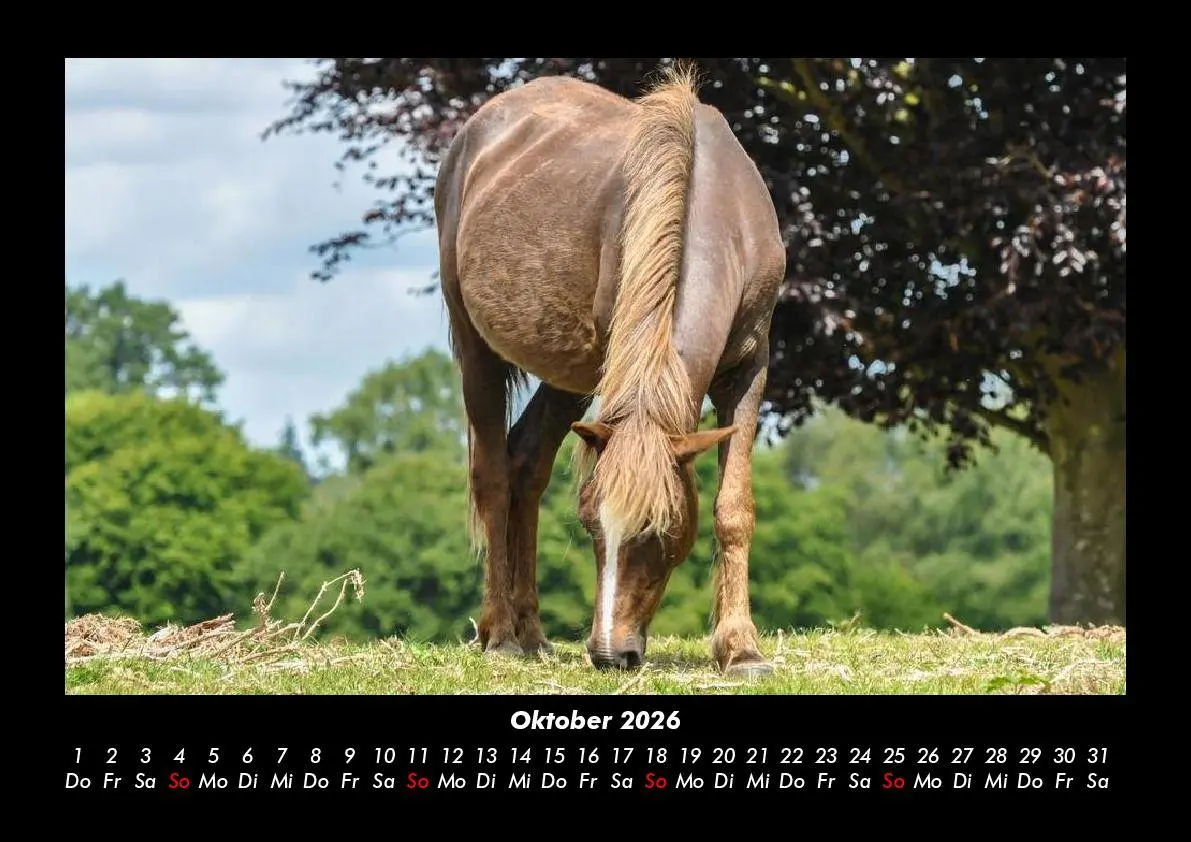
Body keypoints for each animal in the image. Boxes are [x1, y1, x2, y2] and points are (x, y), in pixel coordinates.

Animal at [434, 62, 786, 676]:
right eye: (590, 525)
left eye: (661, 528)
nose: (608, 653)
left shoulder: (750, 369)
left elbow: (733, 507)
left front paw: (741, 649)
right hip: (477, 348)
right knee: (493, 475)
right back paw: (501, 634)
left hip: (567, 378)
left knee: (526, 464)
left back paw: (532, 633)